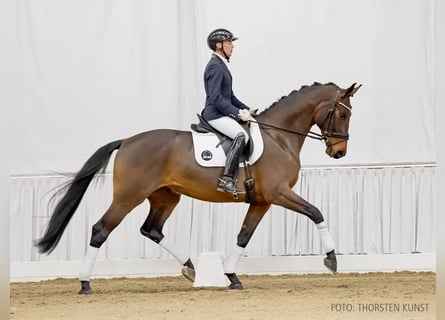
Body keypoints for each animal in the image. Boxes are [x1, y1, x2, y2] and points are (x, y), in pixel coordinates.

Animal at [35, 82, 360, 292]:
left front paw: (231, 276)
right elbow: (316, 212)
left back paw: (192, 267)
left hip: (165, 197)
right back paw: (85, 283)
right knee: (101, 229)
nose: (339, 152)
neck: (278, 137)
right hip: (128, 197)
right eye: (343, 114)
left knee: (151, 229)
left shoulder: (262, 200)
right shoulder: (279, 193)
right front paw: (331, 259)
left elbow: (244, 236)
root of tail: (126, 141)